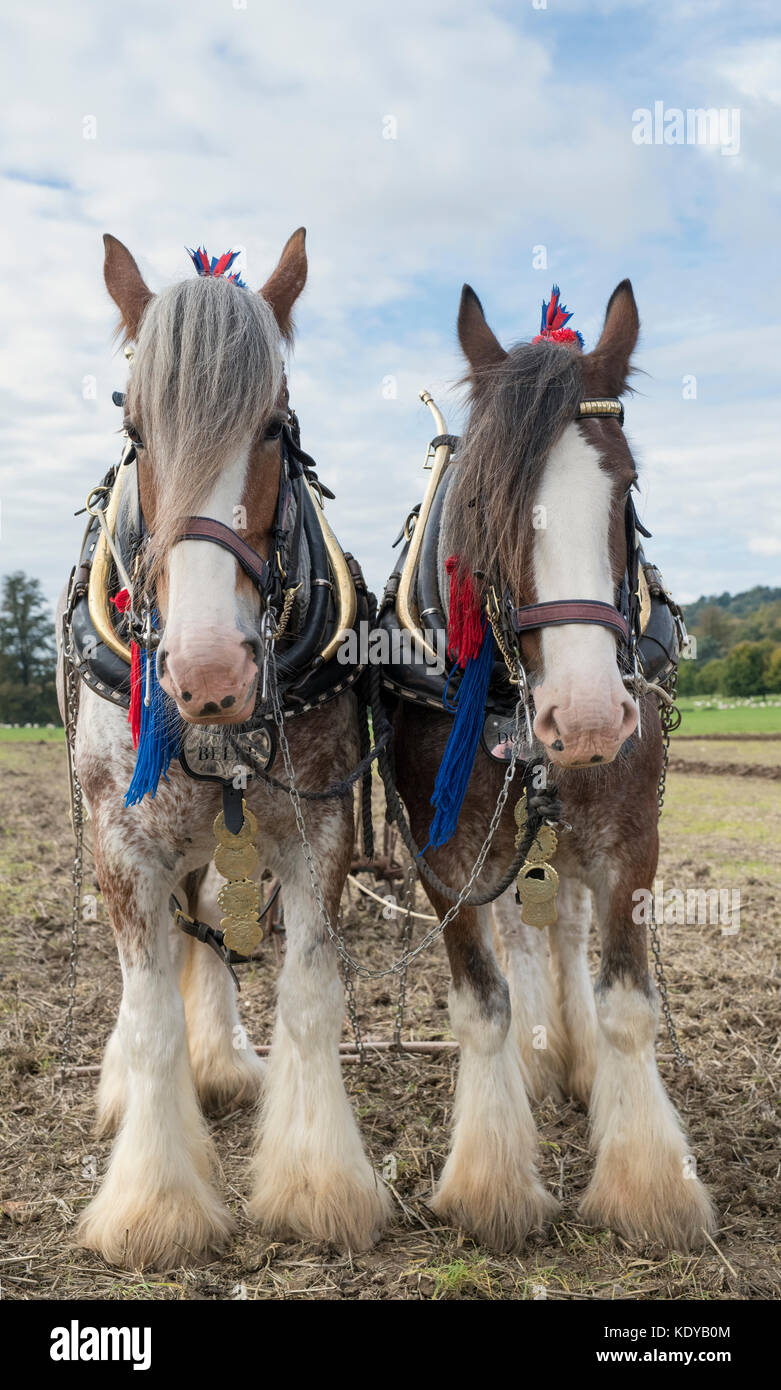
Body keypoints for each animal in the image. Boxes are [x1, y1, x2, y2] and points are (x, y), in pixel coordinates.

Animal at [56, 236, 389, 1273]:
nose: (208, 674)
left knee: (203, 920)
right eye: (137, 431)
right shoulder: (123, 847)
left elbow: (309, 993)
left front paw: (320, 1184)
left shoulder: (317, 832)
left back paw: (224, 1061)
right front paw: (155, 1204)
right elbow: (150, 1014)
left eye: (275, 428)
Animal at [391, 279, 717, 1251]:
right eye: (483, 498)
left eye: (627, 486)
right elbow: (482, 1001)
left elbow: (625, 1001)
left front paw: (649, 1186)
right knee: (529, 940)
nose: (586, 717)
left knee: (562, 929)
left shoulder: (629, 838)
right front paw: (490, 1182)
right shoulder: (443, 854)